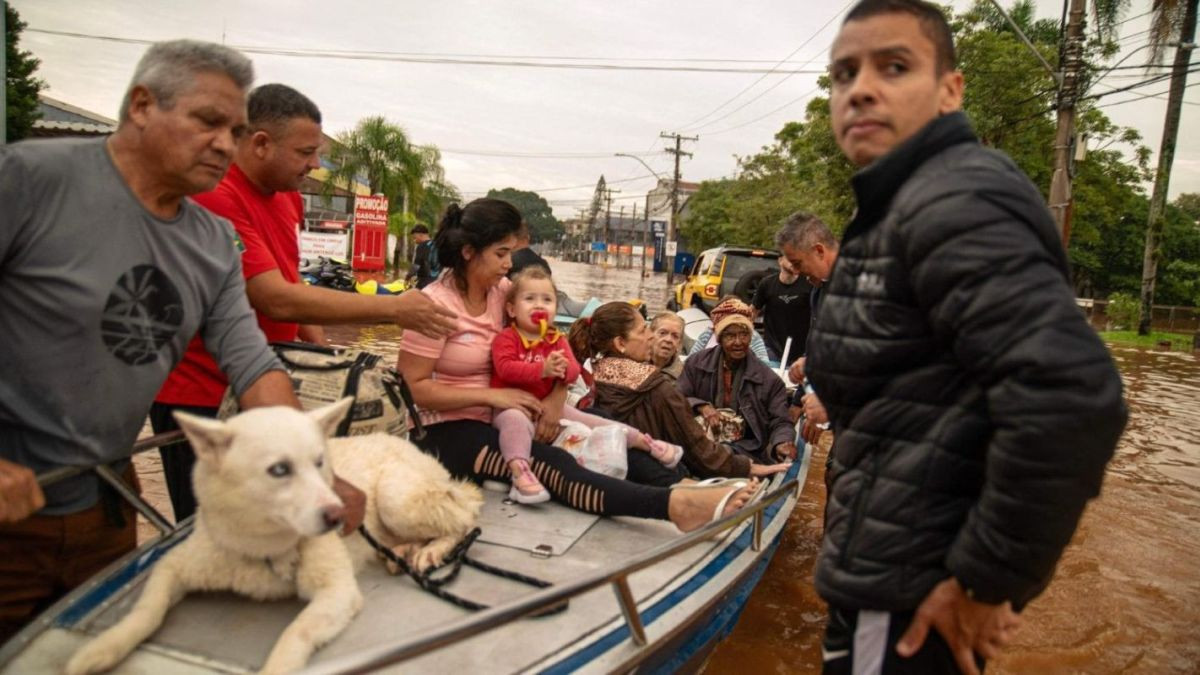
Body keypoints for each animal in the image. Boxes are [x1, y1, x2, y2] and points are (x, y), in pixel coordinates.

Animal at [68, 396, 482, 667]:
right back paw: (404, 552)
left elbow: (293, 635)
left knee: (465, 517)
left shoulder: (338, 592)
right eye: (279, 469)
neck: (262, 549)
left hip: (397, 497)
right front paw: (99, 651)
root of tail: (409, 444)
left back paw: (430, 550)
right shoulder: (174, 565)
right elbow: (146, 611)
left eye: (320, 462)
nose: (340, 514)